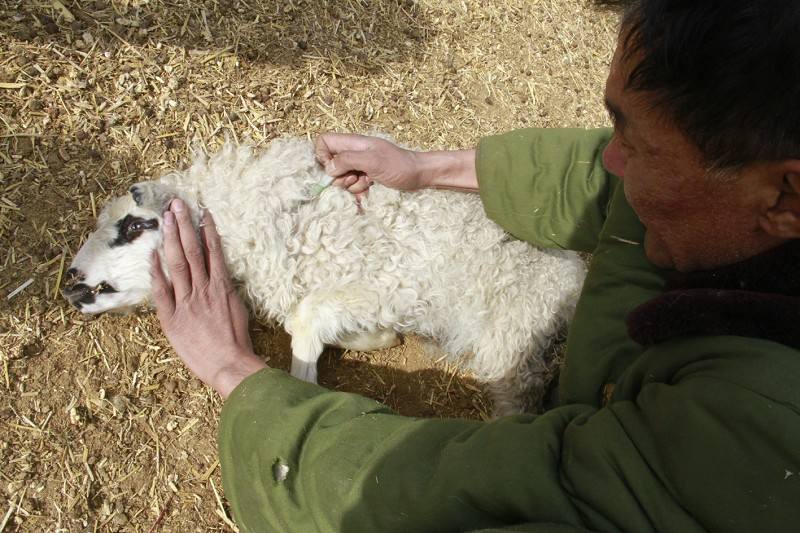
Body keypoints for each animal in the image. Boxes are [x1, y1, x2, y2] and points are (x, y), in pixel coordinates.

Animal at [62, 135, 584, 414]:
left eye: (135, 225)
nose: (70, 282)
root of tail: (575, 276)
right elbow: (313, 318)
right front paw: (375, 339)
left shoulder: (394, 284)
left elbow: (308, 316)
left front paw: (306, 379)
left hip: (511, 334)